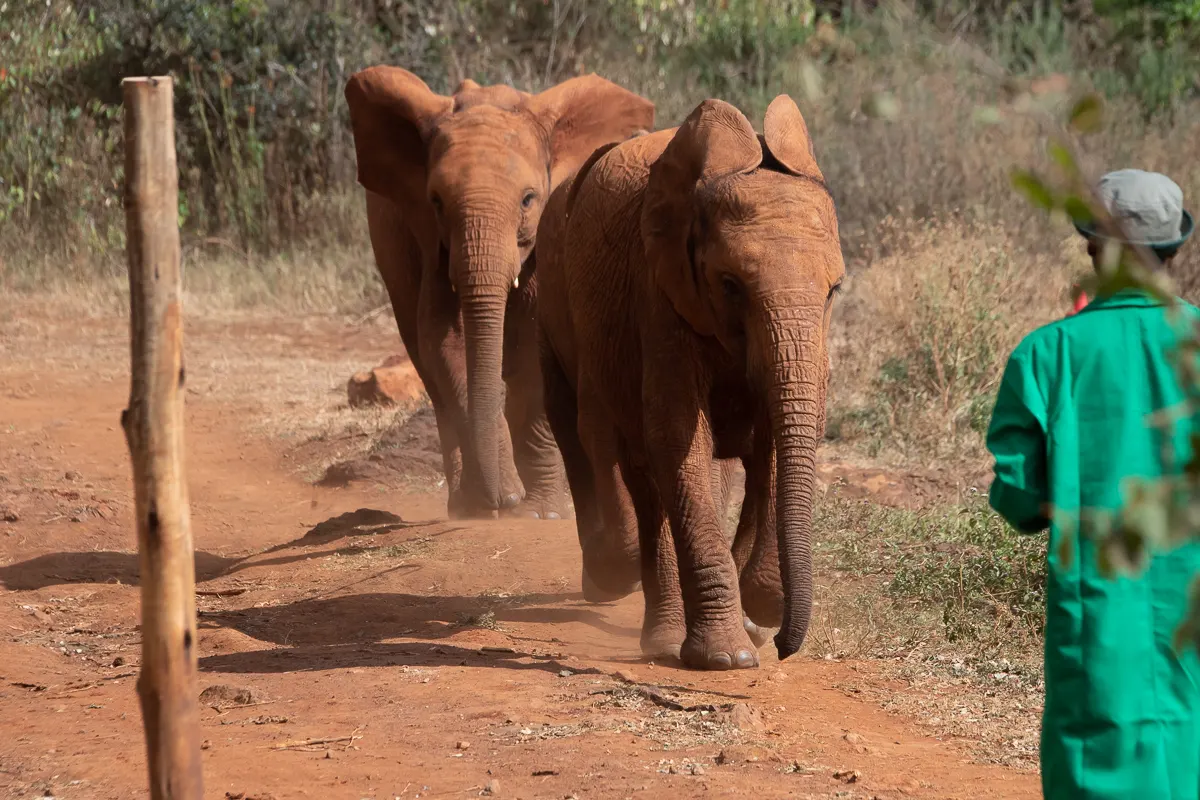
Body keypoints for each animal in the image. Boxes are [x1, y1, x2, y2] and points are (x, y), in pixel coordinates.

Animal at [343, 67, 655, 519]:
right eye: (435, 202)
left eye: (528, 200)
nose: (503, 501)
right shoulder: (431, 241)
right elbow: (443, 342)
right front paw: (499, 498)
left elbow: (535, 356)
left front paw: (540, 512)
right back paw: (463, 504)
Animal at [537, 95, 844, 670]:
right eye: (730, 284)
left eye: (835, 290)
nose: (784, 648)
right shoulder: (658, 292)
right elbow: (679, 436)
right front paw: (729, 659)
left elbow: (779, 436)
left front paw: (759, 610)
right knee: (626, 460)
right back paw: (652, 624)